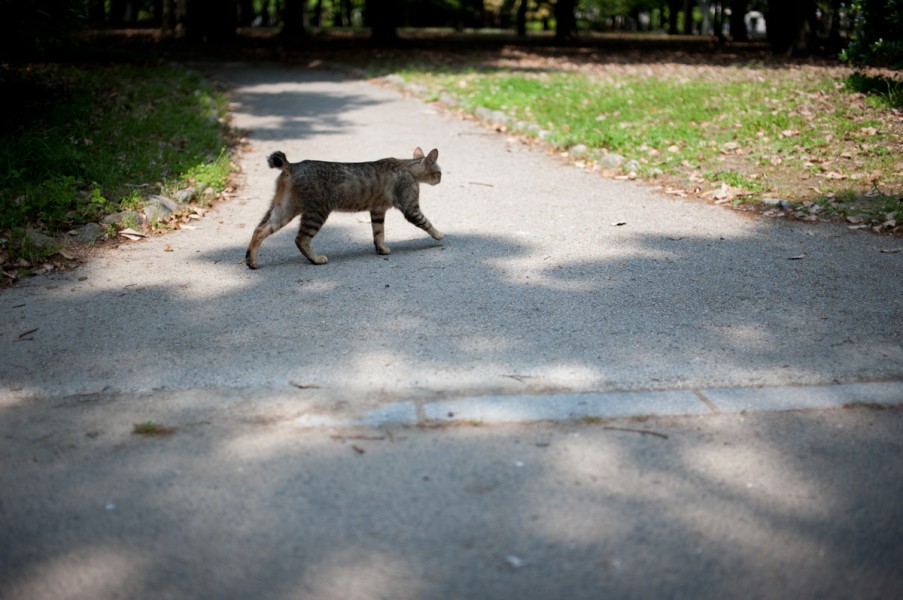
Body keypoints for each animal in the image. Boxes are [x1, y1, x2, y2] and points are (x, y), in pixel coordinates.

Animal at [245, 146, 446, 268]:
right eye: (439, 173)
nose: (440, 179)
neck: (408, 166)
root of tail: (292, 165)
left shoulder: (377, 210)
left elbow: (378, 233)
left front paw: (381, 249)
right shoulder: (410, 208)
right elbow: (427, 223)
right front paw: (439, 235)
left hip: (284, 209)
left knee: (259, 230)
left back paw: (251, 261)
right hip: (316, 212)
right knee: (300, 239)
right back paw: (316, 259)